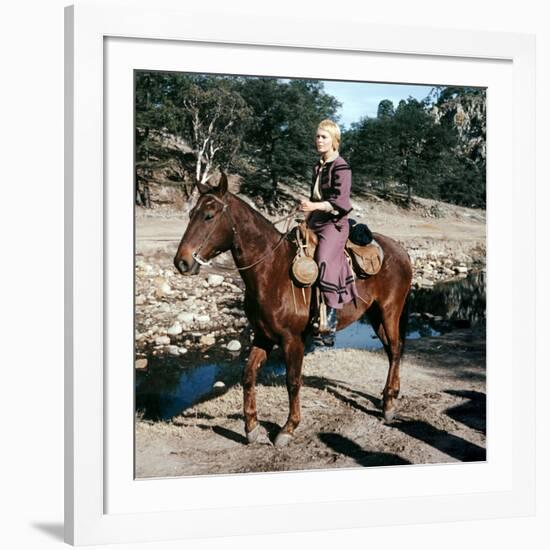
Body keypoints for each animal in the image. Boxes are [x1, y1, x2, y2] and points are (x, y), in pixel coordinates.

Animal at [175, 172, 412, 448]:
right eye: (192, 214)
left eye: (209, 216)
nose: (182, 262)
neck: (271, 271)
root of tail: (400, 250)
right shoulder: (263, 336)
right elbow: (248, 375)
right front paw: (252, 428)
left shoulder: (292, 339)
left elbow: (293, 381)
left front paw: (288, 428)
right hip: (374, 315)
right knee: (391, 350)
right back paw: (389, 397)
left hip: (389, 311)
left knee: (394, 350)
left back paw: (388, 405)